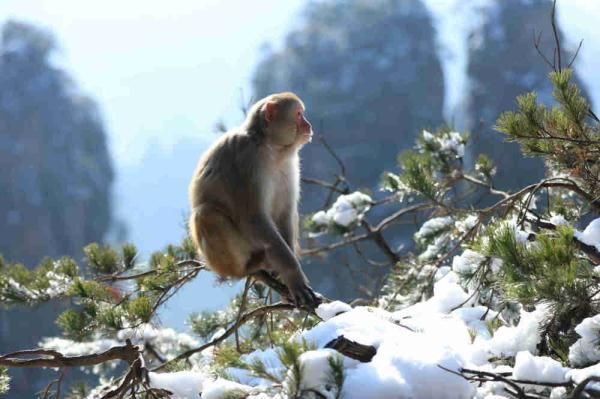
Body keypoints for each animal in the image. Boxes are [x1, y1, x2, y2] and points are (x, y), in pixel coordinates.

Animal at [189, 91, 322, 310]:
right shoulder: (247, 159)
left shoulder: (290, 163)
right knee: (206, 214)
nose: (308, 124)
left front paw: (286, 276)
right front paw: (293, 275)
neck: (272, 148)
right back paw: (252, 267)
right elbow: (253, 217)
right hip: (226, 260)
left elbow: (285, 212)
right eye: (298, 114)